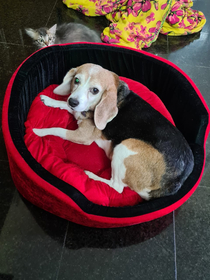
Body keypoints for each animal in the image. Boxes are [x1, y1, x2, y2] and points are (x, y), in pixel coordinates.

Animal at [33, 63, 194, 200]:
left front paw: (39, 131)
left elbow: (58, 129)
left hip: (125, 146)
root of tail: (176, 181)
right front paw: (50, 100)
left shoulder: (82, 136)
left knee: (117, 187)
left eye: (95, 90)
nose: (73, 101)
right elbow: (64, 105)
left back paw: (91, 176)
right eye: (76, 80)